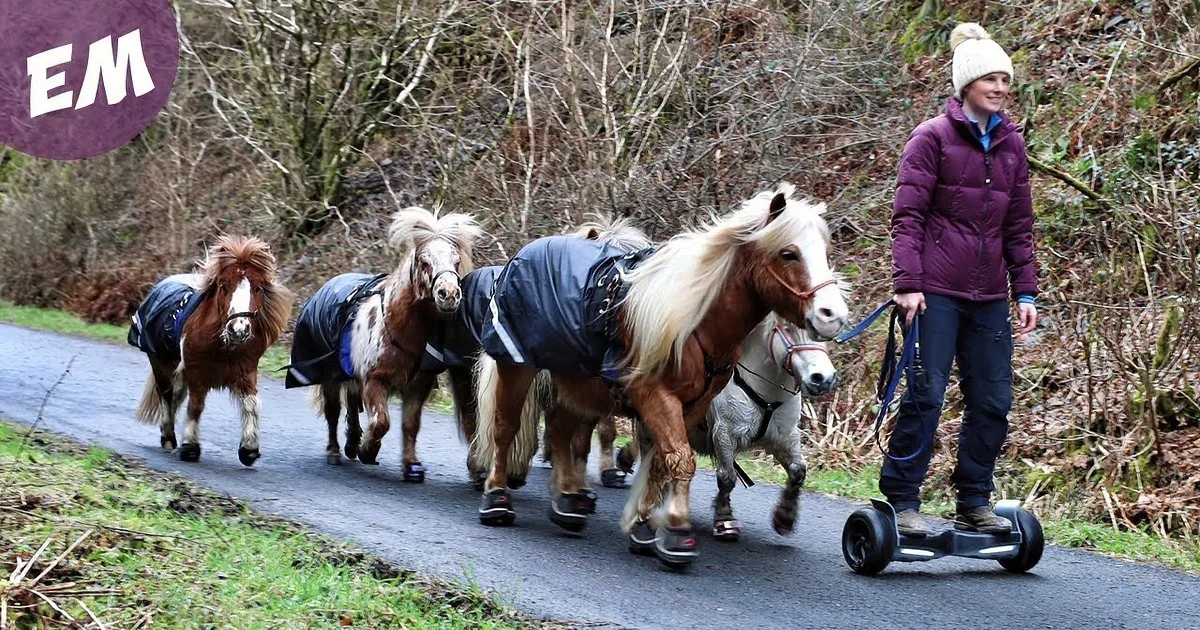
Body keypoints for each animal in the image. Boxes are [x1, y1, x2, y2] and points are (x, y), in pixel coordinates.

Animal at [128, 235, 293, 466]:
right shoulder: (197, 372)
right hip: (160, 364)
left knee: (176, 396)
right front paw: (190, 447)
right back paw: (168, 437)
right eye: (223, 286)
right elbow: (196, 406)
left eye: (258, 288)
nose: (239, 329)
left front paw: (249, 449)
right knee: (167, 396)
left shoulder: (246, 371)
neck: (223, 345)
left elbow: (251, 404)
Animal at [285, 207, 482, 481]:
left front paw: (411, 465)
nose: (450, 295)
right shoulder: (374, 382)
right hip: (330, 377)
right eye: (424, 261)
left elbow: (410, 425)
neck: (399, 328)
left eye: (455, 262)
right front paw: (369, 451)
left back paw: (352, 442)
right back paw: (335, 451)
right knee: (333, 412)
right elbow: (381, 422)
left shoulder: (416, 387)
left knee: (352, 404)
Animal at [470, 181, 849, 569]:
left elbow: (663, 461)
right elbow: (682, 459)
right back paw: (497, 498)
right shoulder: (657, 397)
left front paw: (645, 527)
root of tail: (525, 252)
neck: (695, 321)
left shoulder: (694, 405)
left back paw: (568, 503)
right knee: (505, 428)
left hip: (574, 380)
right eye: (788, 253)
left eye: (825, 251)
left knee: (563, 432)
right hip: (518, 366)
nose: (833, 315)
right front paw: (678, 531)